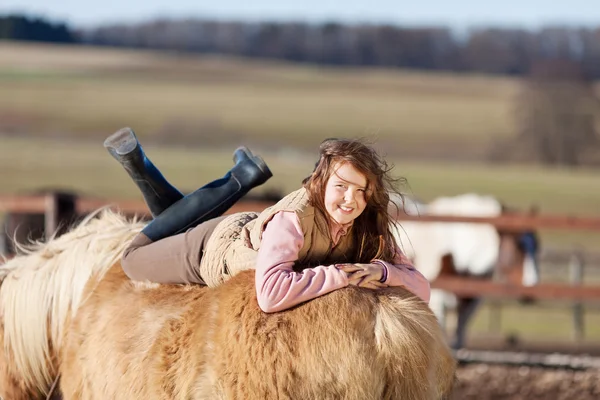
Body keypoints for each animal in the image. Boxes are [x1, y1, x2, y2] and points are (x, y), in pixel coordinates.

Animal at [392, 195, 540, 348]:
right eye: (518, 247)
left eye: (536, 246)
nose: (531, 289)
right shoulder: (437, 295)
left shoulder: (471, 298)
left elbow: (460, 331)